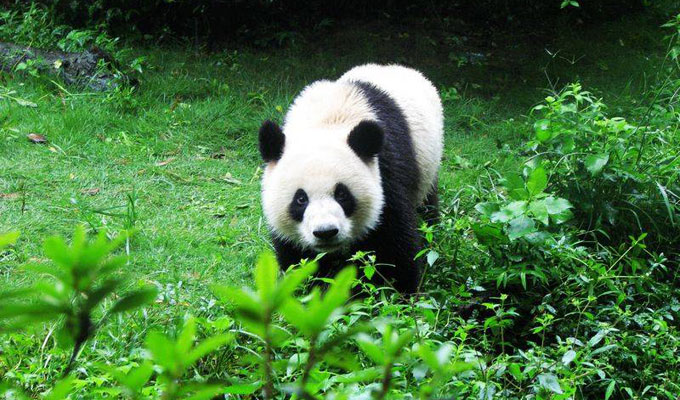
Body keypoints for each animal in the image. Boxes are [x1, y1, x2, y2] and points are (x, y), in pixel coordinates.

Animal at [258, 64, 444, 292]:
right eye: (301, 199)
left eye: (342, 194)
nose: (325, 232)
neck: (326, 121)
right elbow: (298, 256)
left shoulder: (387, 171)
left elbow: (394, 242)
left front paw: (399, 290)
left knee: (427, 202)